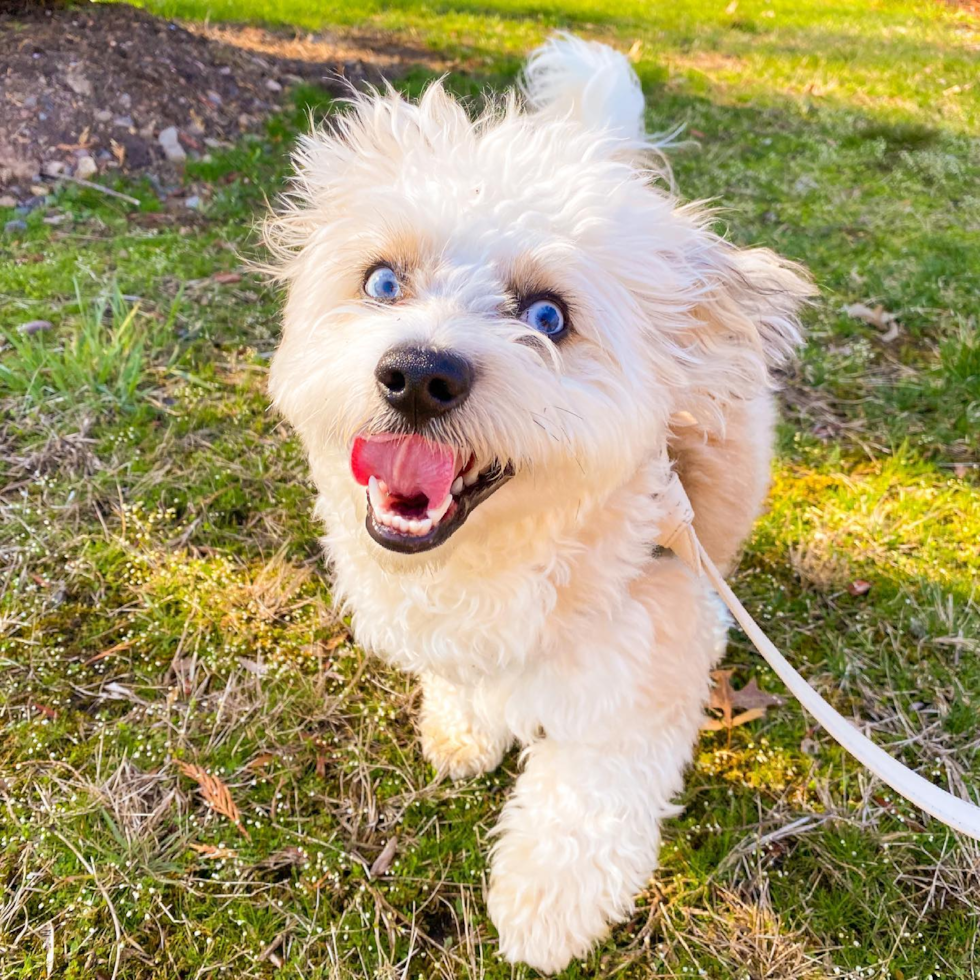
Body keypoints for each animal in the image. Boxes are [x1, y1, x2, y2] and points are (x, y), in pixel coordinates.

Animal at [264, 36, 808, 972]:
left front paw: (546, 904)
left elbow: (589, 792)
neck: (490, 559)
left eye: (549, 316)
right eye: (383, 282)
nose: (419, 374)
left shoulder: (650, 648)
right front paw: (463, 725)